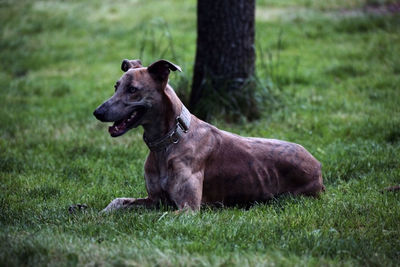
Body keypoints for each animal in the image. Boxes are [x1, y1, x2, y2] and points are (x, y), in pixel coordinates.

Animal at [92, 59, 324, 214]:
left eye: (133, 89)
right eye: (116, 87)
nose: (97, 112)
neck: (169, 141)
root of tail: (318, 165)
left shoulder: (188, 208)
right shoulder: (154, 199)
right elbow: (118, 201)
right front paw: (97, 214)